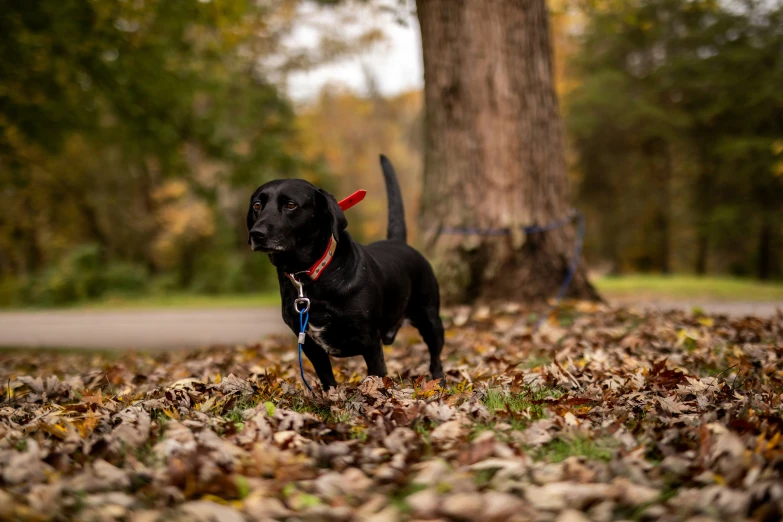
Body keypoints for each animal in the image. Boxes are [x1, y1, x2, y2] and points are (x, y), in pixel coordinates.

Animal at [248, 156, 444, 388]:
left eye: (290, 204)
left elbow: (377, 376)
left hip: (430, 318)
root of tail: (398, 241)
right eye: (257, 205)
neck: (311, 275)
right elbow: (327, 379)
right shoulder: (309, 344)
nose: (256, 234)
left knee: (436, 358)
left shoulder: (370, 341)